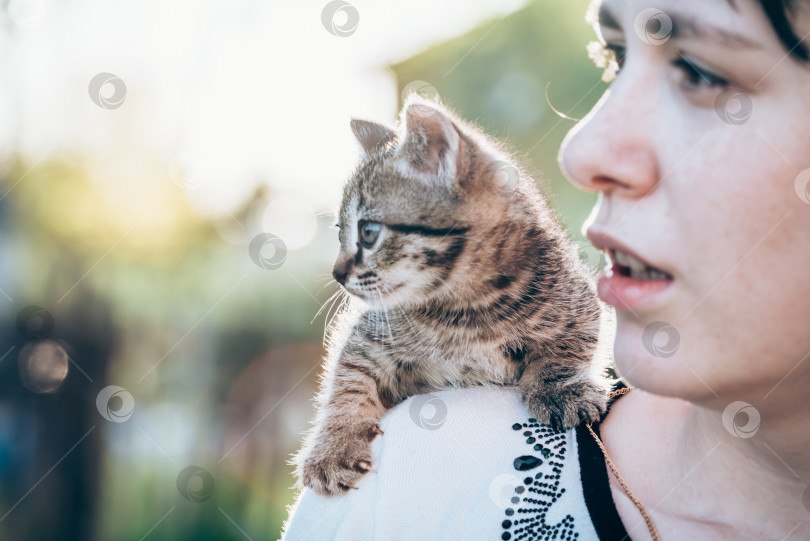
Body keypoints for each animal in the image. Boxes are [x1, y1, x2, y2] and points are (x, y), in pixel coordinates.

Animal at [290, 92, 612, 494]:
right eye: (338, 232)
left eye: (368, 232)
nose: (337, 273)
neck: (465, 308)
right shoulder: (366, 336)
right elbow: (346, 382)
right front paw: (333, 447)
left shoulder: (581, 301)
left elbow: (567, 349)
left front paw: (560, 390)